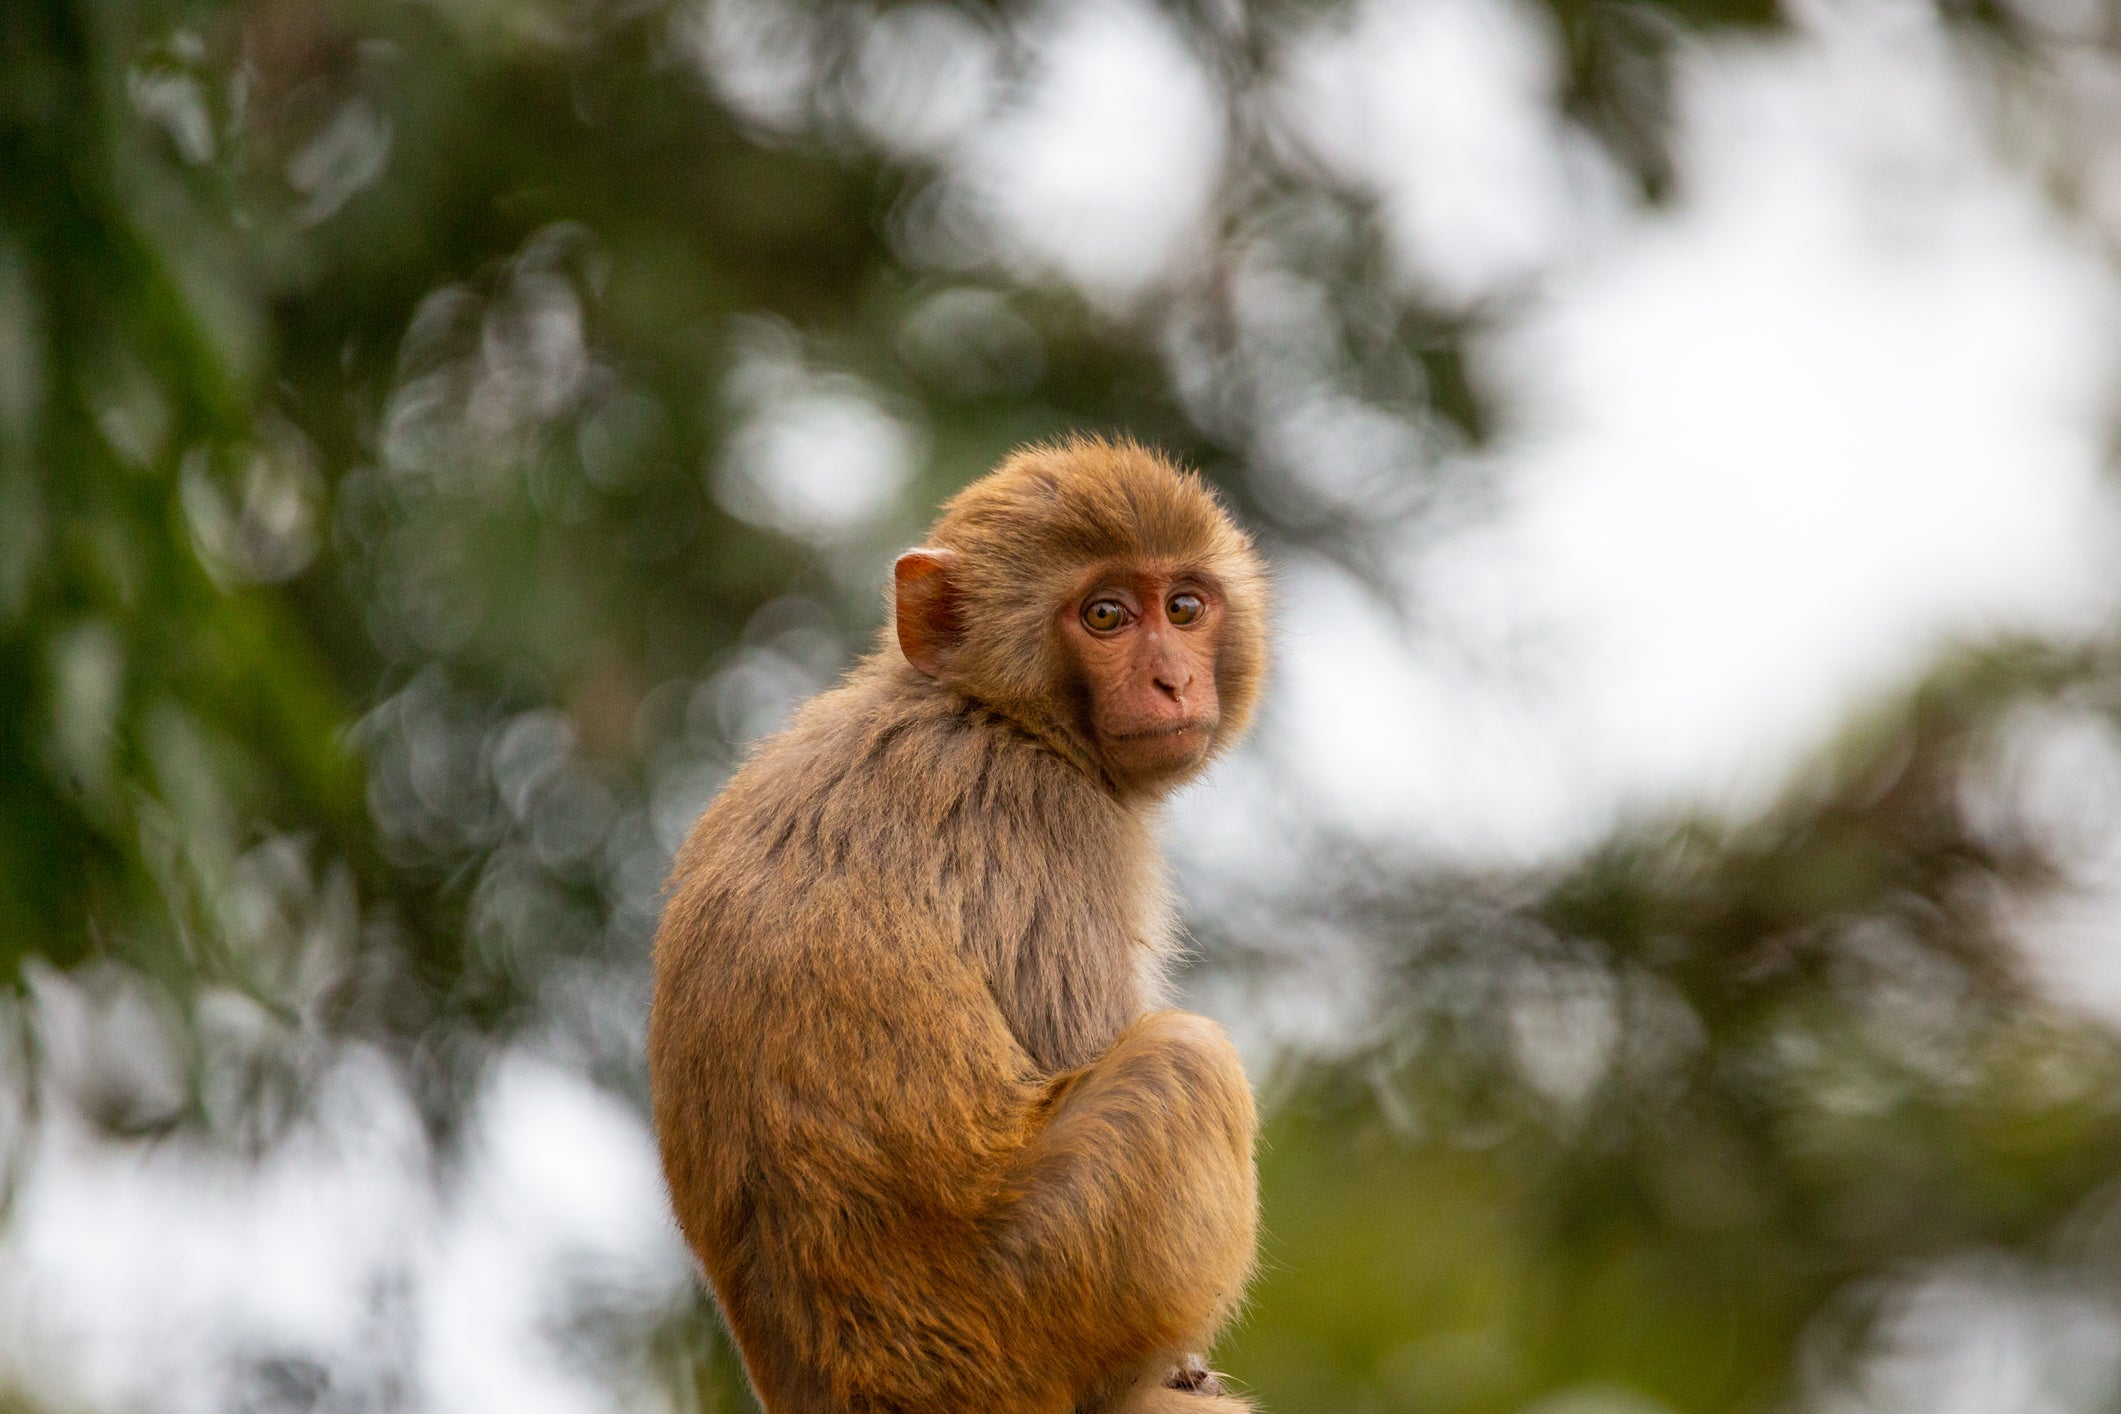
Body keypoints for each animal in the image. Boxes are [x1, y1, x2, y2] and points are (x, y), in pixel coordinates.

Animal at [649, 436, 1269, 1414]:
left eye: (1183, 606)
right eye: (1104, 615)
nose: (1172, 680)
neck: (988, 711)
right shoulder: (1053, 821)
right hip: (1033, 1298)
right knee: (1186, 1059)